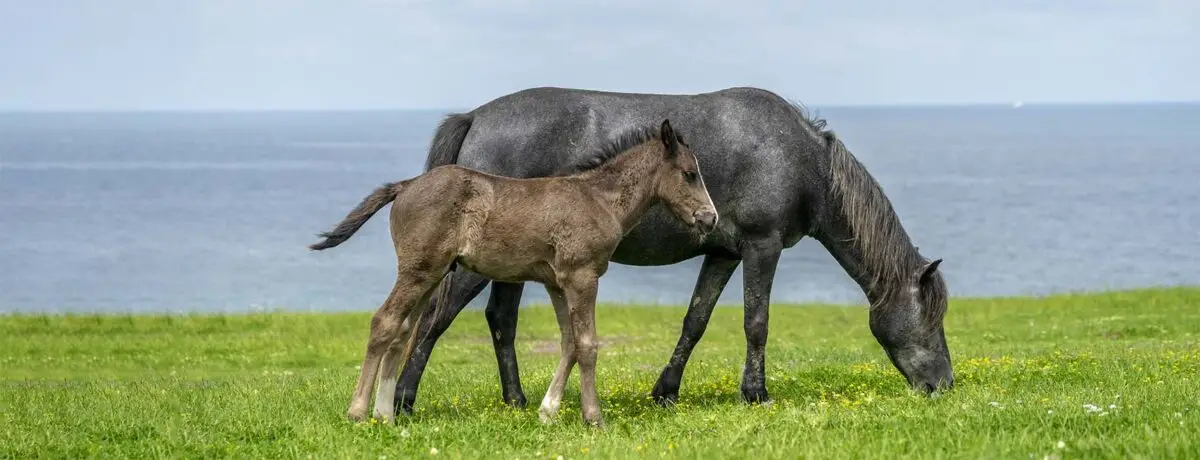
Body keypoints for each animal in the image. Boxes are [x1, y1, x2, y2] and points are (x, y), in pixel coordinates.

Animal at [309, 119, 717, 426]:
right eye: (689, 174)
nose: (710, 218)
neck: (598, 199)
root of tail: (406, 185)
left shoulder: (557, 282)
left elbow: (569, 342)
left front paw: (548, 412)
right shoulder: (582, 275)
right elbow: (587, 344)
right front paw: (594, 417)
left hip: (431, 274)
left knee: (402, 331)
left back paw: (386, 416)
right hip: (418, 270)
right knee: (385, 322)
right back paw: (358, 412)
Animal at [394, 86, 954, 415]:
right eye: (932, 318)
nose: (944, 386)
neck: (802, 160)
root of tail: (474, 117)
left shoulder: (725, 253)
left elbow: (696, 320)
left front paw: (666, 391)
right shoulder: (762, 246)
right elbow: (756, 322)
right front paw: (756, 394)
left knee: (499, 320)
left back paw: (516, 401)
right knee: (435, 318)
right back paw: (402, 400)